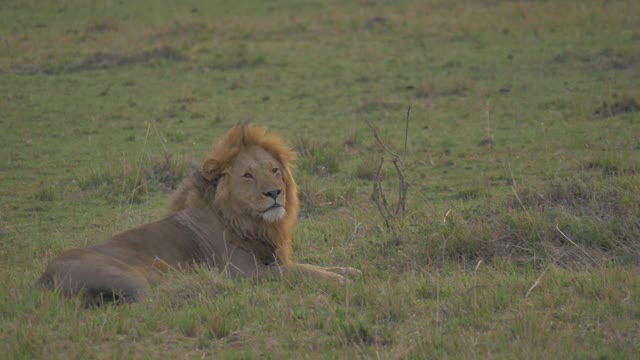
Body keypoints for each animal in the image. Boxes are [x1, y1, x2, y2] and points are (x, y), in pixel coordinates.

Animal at [38, 124, 360, 304]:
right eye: (247, 176)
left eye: (274, 170)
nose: (275, 193)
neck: (249, 222)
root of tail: (43, 278)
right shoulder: (247, 274)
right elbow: (300, 270)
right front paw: (339, 281)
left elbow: (313, 264)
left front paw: (350, 271)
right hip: (129, 277)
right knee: (153, 301)